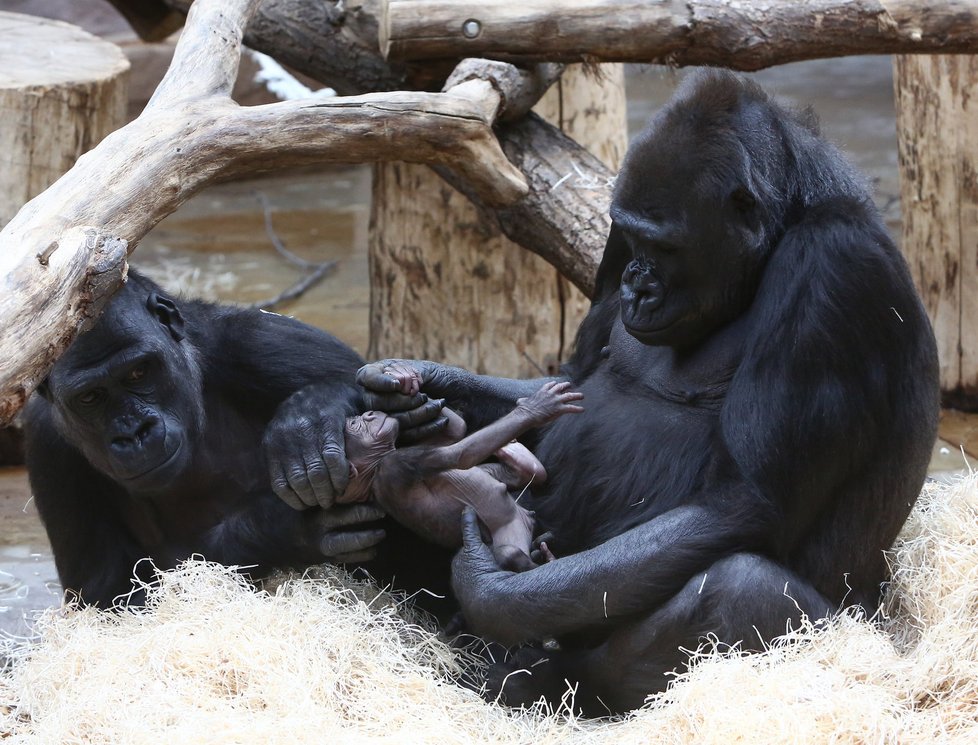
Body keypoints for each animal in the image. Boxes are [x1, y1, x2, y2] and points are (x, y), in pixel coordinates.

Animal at [22, 270, 438, 608]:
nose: (135, 432)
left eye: (139, 372)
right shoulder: (45, 442)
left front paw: (311, 413)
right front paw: (288, 529)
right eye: (90, 397)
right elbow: (108, 595)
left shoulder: (262, 341)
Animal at [342, 372, 580, 568]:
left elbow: (457, 430)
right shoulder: (398, 463)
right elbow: (460, 455)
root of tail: (527, 520)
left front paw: (404, 376)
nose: (370, 414)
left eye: (359, 420)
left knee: (533, 473)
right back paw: (544, 559)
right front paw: (535, 409)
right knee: (509, 555)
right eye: (354, 425)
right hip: (512, 536)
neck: (378, 462)